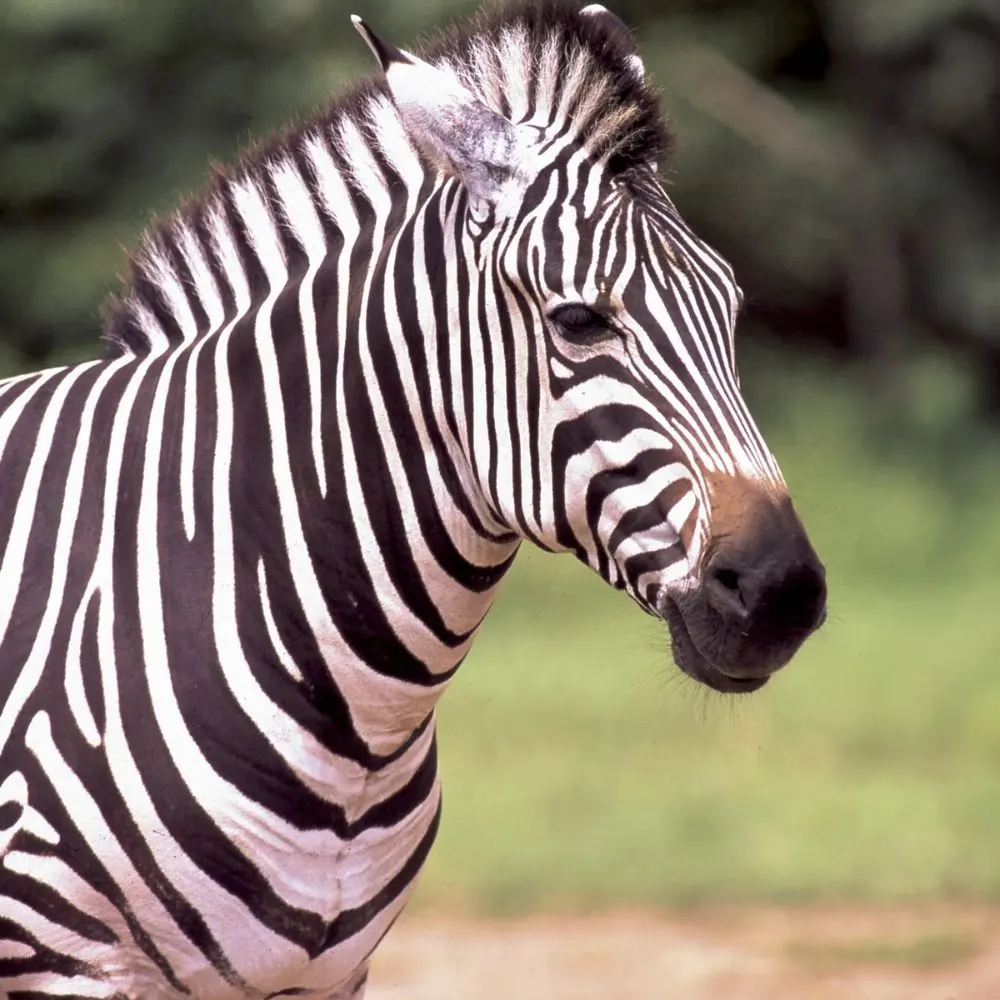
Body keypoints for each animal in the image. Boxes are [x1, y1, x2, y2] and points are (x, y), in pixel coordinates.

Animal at [0, 2, 826, 997]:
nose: (782, 594)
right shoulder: (75, 967)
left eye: (732, 308)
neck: (359, 728)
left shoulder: (329, 975)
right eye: (578, 320)